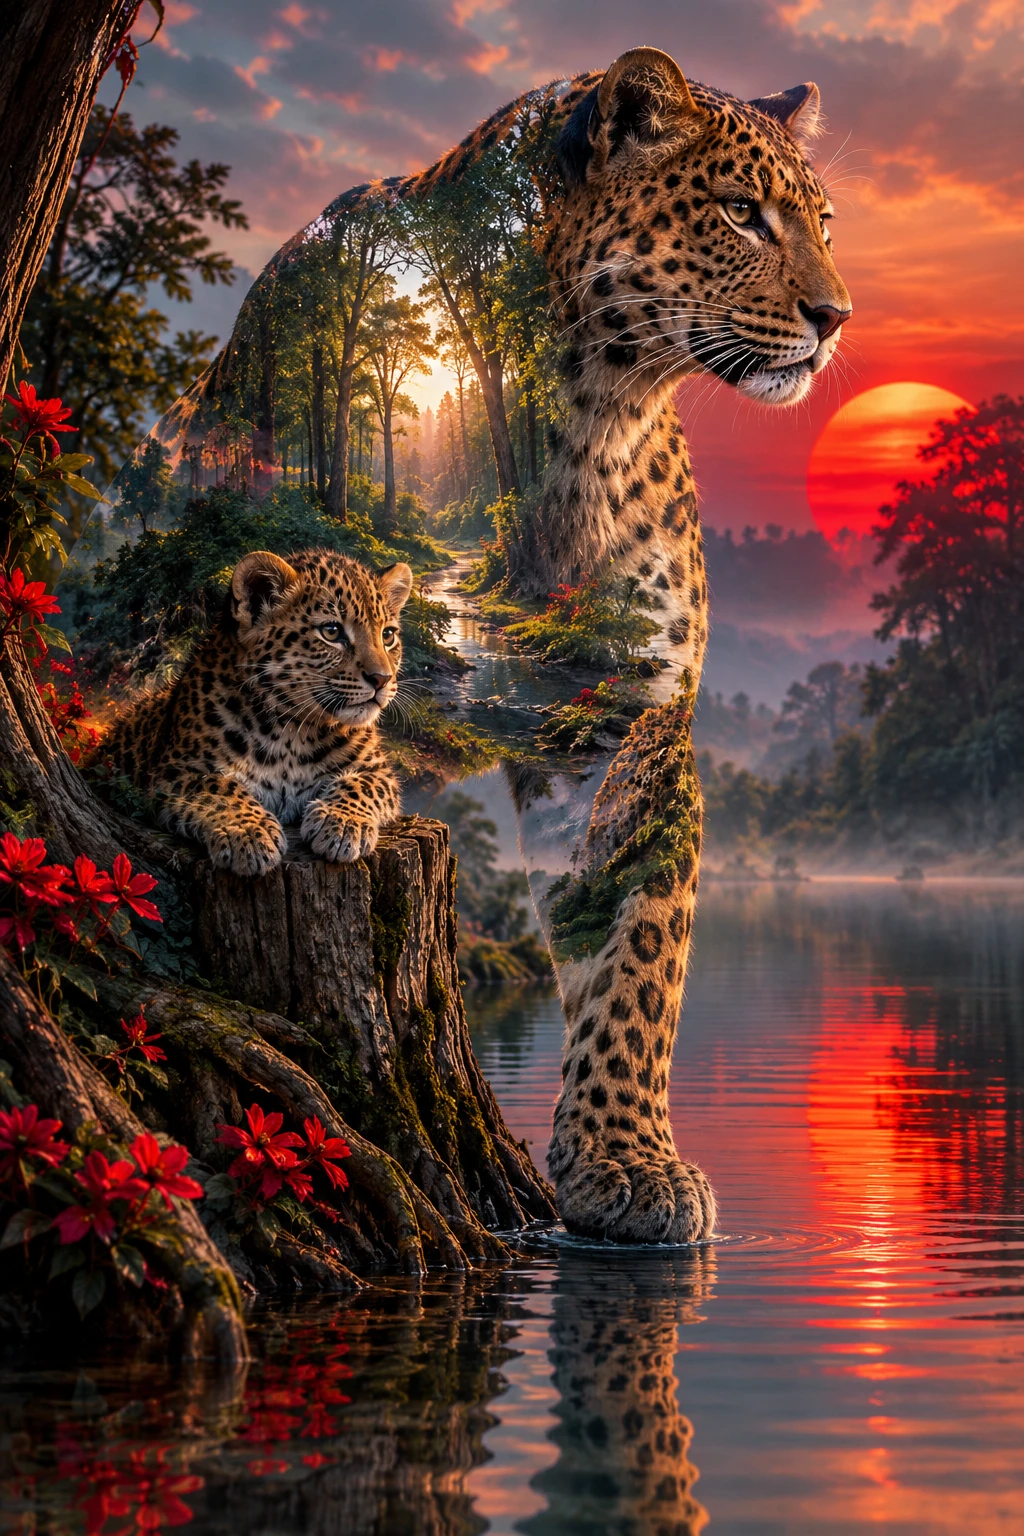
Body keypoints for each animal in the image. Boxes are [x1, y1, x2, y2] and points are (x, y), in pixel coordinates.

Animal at [104, 549, 413, 875]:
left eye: (388, 636)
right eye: (331, 631)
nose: (382, 679)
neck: (293, 730)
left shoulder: (379, 770)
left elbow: (361, 784)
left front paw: (340, 824)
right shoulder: (173, 772)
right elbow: (217, 785)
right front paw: (249, 834)